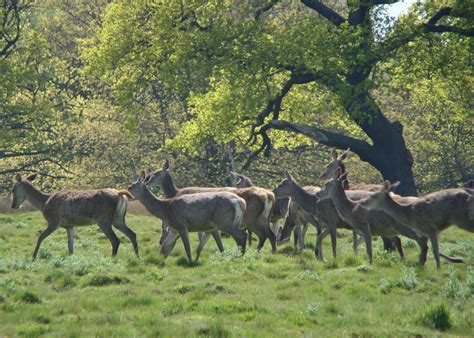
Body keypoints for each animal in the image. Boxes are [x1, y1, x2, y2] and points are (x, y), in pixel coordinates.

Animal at [10, 173, 139, 260]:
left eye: (13, 189)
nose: (13, 205)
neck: (43, 203)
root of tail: (120, 194)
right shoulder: (70, 225)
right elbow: (70, 247)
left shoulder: (54, 221)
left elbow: (40, 237)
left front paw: (33, 257)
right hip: (118, 218)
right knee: (132, 234)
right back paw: (137, 257)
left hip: (103, 219)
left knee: (115, 240)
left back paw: (112, 258)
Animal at [146, 161, 276, 254]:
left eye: (155, 173)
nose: (147, 182)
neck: (174, 193)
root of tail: (269, 195)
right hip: (263, 218)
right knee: (270, 234)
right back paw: (269, 252)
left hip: (251, 219)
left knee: (259, 235)